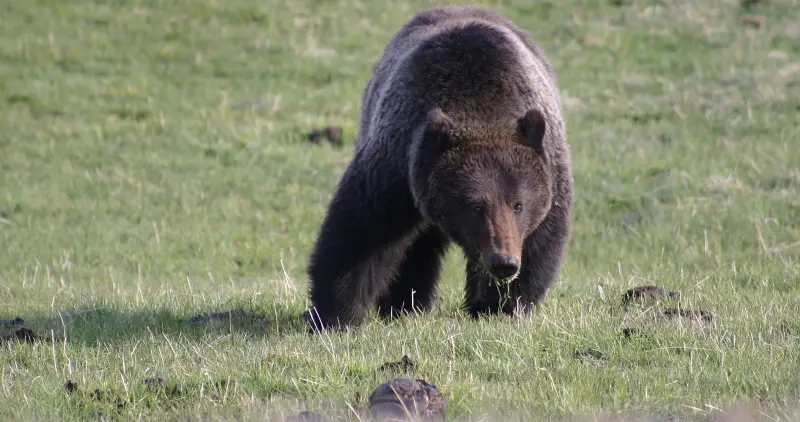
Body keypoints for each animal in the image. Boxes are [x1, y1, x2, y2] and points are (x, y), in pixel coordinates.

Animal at [304, 4, 572, 332]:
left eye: (518, 204)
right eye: (475, 205)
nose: (504, 263)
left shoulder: (550, 171)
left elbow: (540, 240)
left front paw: (499, 305)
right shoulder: (398, 167)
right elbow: (359, 234)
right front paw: (334, 315)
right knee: (415, 249)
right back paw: (405, 304)